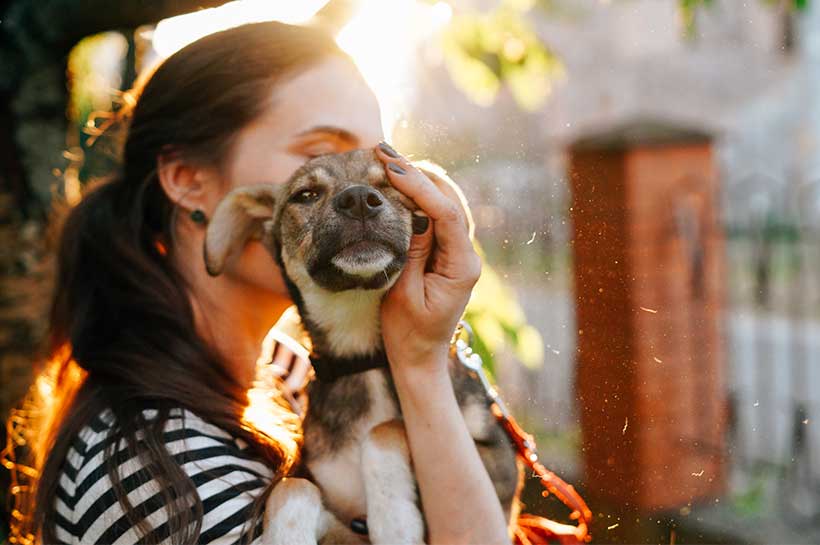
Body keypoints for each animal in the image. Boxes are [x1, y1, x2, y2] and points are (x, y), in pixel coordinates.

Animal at [203, 150, 520, 544]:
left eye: (389, 181)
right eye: (306, 195)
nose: (358, 200)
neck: (361, 356)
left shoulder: (501, 466)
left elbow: (384, 428)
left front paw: (394, 517)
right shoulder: (341, 519)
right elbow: (292, 486)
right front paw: (288, 536)